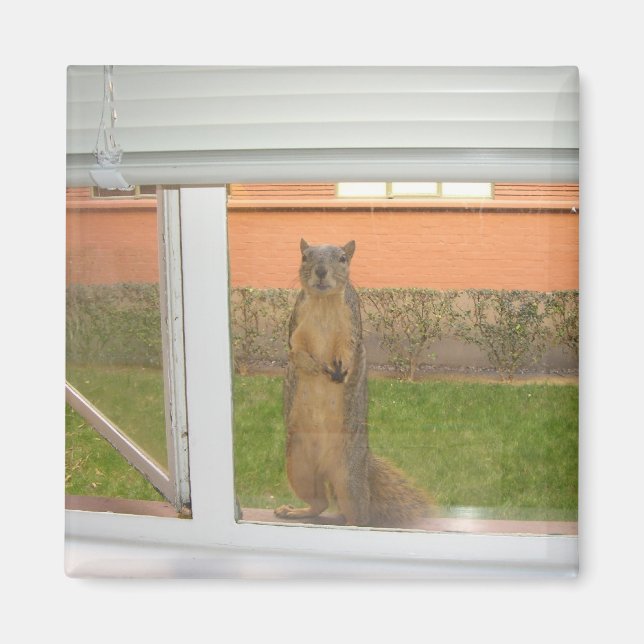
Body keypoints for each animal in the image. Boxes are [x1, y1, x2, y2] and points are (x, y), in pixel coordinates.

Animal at [274, 238, 429, 528]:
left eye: (343, 258)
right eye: (304, 257)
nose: (321, 271)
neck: (324, 303)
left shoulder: (351, 327)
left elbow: (348, 348)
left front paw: (342, 370)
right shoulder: (296, 327)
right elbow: (296, 352)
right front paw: (313, 366)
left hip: (348, 478)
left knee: (358, 516)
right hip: (298, 467)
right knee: (320, 502)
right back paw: (297, 511)